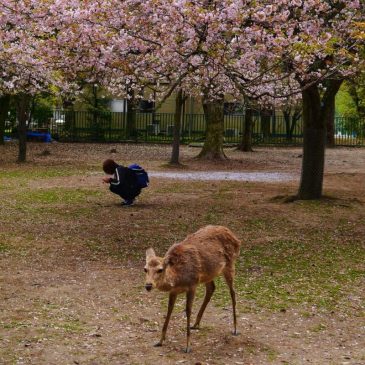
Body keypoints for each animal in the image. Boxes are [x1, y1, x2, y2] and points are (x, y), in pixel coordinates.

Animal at [144, 223, 240, 352]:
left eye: (160, 269)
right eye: (145, 269)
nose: (148, 285)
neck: (178, 278)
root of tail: (235, 238)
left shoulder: (192, 285)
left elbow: (188, 310)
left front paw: (187, 346)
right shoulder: (174, 291)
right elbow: (169, 310)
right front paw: (159, 341)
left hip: (230, 264)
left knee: (233, 292)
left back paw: (235, 329)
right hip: (208, 274)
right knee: (211, 288)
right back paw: (195, 324)